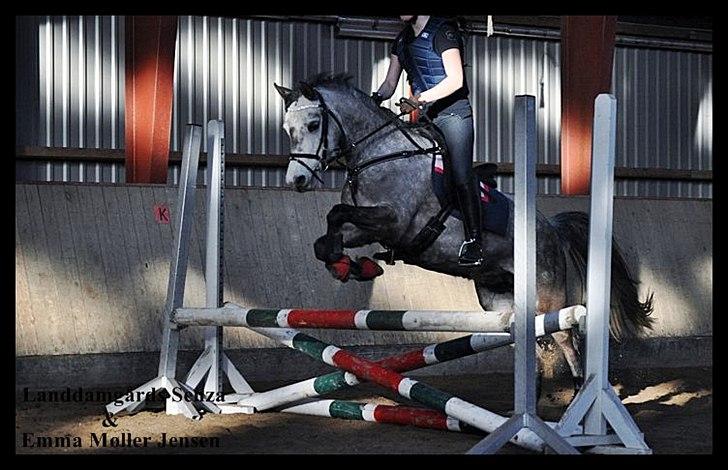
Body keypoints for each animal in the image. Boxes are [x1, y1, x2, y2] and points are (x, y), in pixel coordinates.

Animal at [272, 73, 656, 396]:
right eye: (287, 128)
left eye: (313, 124)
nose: (297, 181)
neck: (379, 153)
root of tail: (551, 229)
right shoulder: (365, 228)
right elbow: (327, 237)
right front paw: (351, 267)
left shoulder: (394, 220)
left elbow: (336, 214)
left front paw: (355, 266)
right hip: (499, 301)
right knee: (530, 342)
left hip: (548, 301)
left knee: (565, 339)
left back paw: (574, 397)